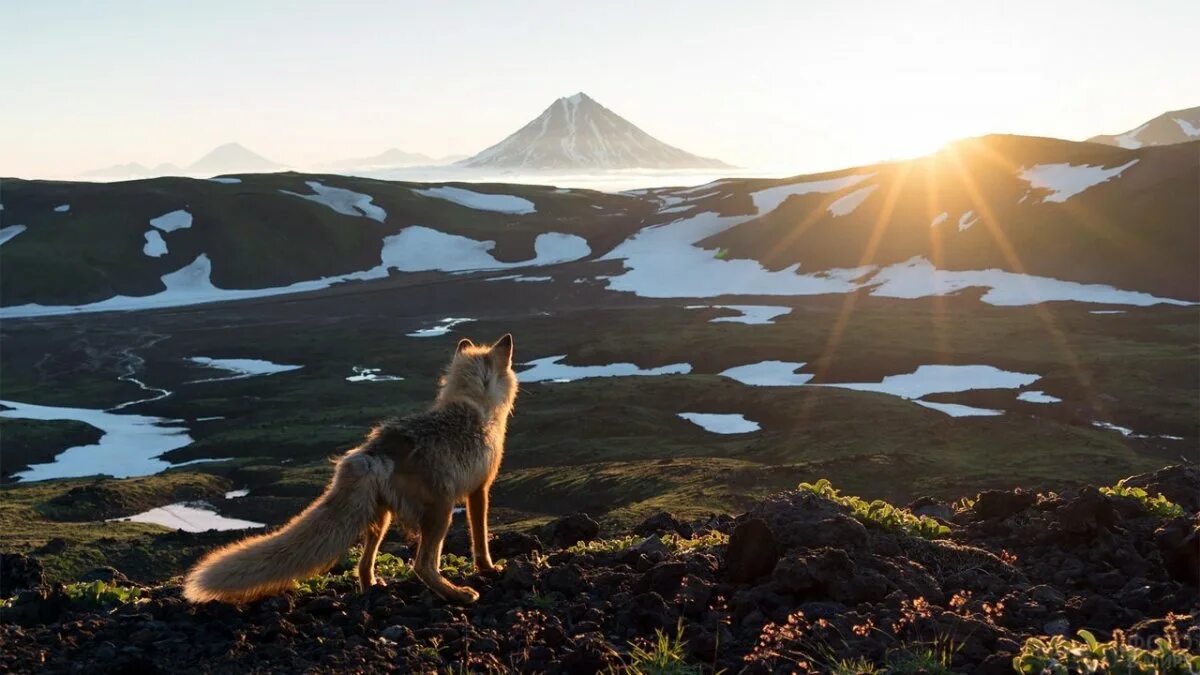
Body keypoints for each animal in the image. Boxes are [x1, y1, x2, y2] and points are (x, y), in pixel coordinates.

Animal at [180, 333, 518, 600]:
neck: (474, 404)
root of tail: (372, 451)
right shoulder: (480, 489)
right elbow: (480, 538)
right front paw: (488, 568)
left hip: (380, 517)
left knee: (363, 564)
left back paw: (372, 588)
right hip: (440, 512)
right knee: (421, 566)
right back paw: (458, 595)